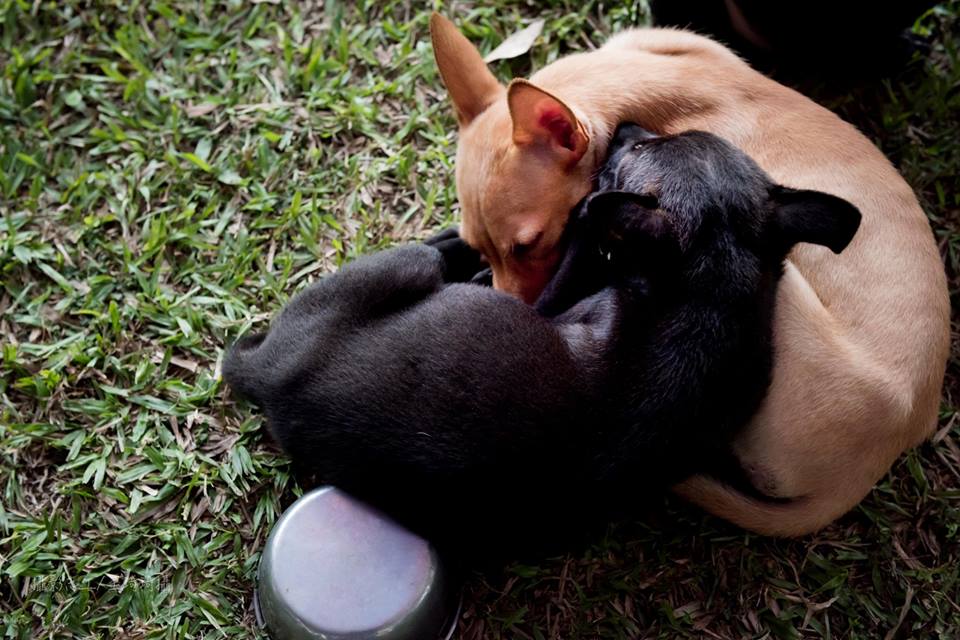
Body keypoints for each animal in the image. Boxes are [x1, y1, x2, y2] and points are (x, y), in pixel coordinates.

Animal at [223, 127, 864, 552]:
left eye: (638, 152)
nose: (626, 129)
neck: (715, 286)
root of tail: (267, 376)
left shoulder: (552, 301)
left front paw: (581, 217)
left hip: (402, 266)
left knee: (428, 256)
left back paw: (455, 248)